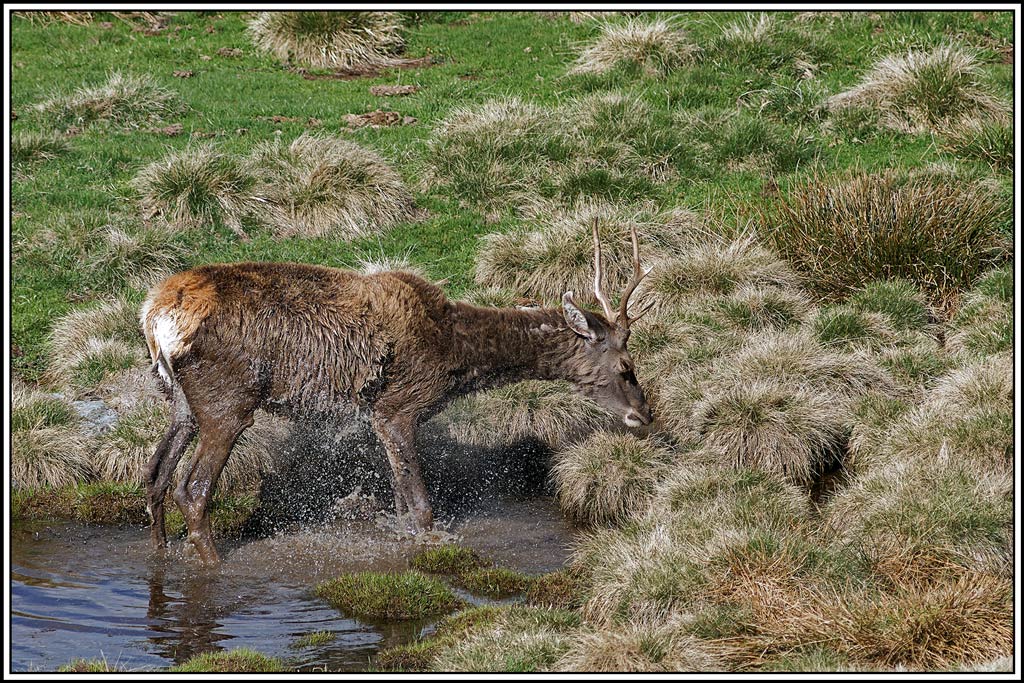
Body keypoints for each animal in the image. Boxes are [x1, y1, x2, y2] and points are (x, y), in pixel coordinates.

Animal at [140, 220, 654, 564]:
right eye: (626, 367)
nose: (644, 415)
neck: (454, 355)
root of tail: (155, 316)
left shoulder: (379, 417)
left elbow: (401, 504)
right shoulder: (396, 408)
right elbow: (422, 508)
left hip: (179, 401)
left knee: (155, 475)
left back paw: (161, 556)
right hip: (227, 401)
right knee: (193, 490)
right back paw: (213, 567)